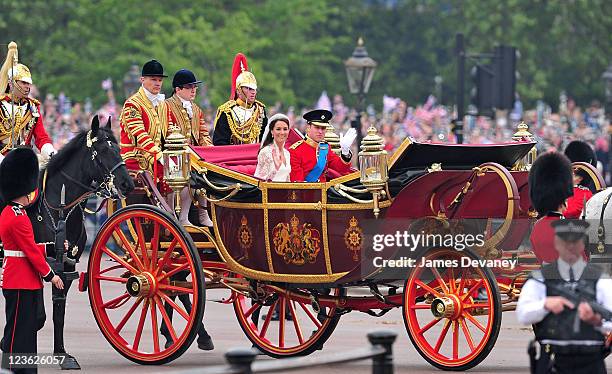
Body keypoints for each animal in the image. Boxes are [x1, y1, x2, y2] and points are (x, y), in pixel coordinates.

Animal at [27, 115, 134, 370]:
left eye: (118, 148)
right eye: (102, 150)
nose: (127, 184)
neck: (60, 209)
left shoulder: (66, 266)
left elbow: (59, 310)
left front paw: (62, 354)